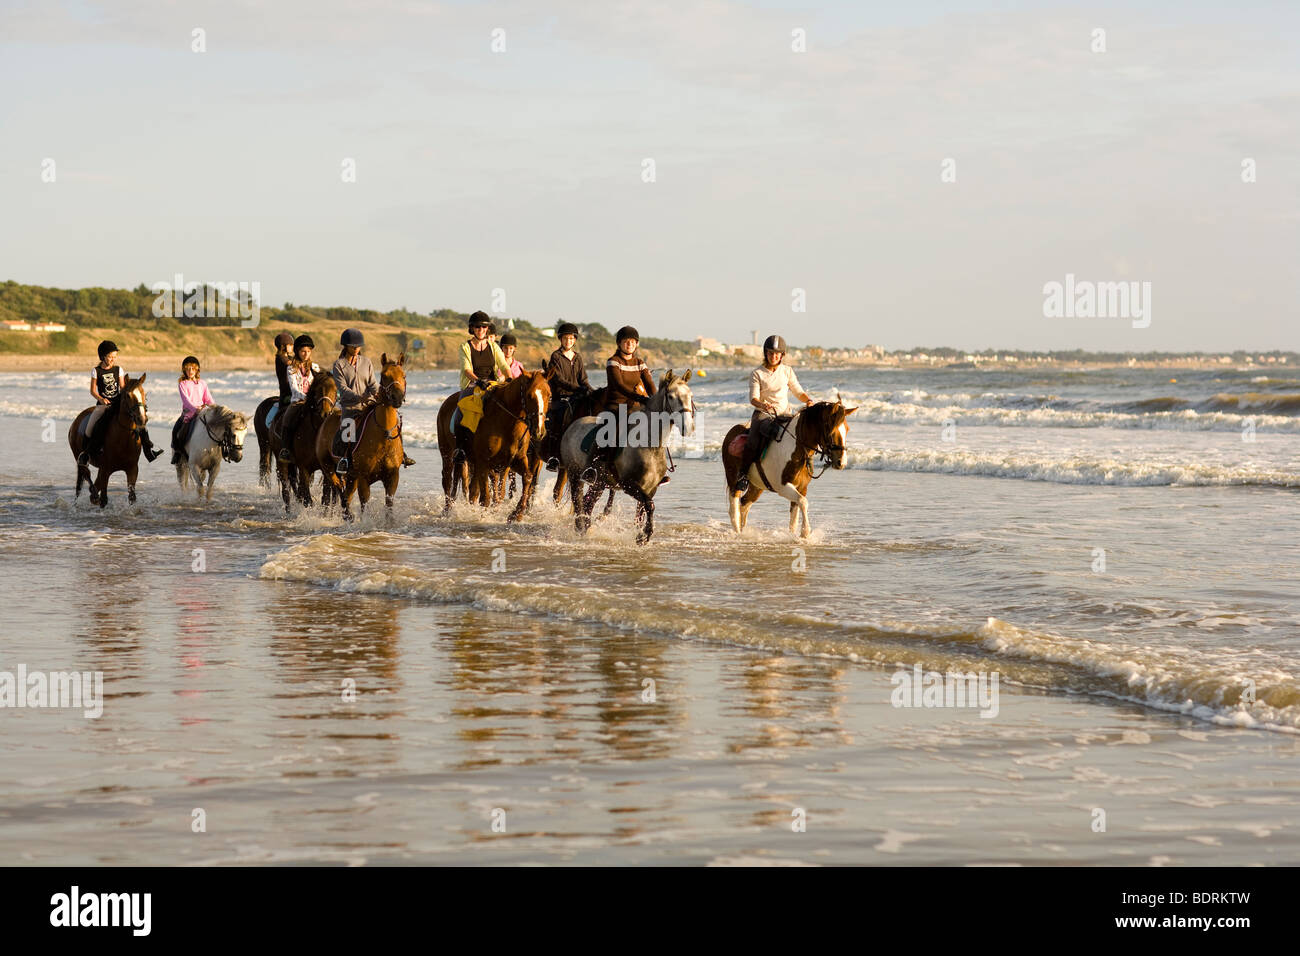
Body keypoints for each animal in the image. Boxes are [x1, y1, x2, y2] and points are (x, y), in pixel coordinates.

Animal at [68, 374, 149, 509]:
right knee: (86, 474)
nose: (142, 419)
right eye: (128, 395)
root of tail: (77, 420)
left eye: (144, 393)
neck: (124, 438)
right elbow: (104, 500)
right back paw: (93, 495)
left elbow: (132, 498)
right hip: (79, 456)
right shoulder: (105, 470)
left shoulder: (132, 469)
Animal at [273, 371, 340, 512]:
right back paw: (288, 512)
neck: (316, 433)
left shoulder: (326, 469)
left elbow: (325, 498)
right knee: (286, 491)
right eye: (316, 390)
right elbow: (308, 500)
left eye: (335, 390)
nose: (325, 414)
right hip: (281, 463)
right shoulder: (304, 468)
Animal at [314, 351, 405, 520]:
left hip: (351, 476)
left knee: (345, 494)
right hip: (330, 469)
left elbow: (389, 504)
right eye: (384, 375)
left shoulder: (392, 476)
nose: (397, 397)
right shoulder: (363, 477)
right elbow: (364, 502)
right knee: (340, 491)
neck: (383, 436)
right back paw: (347, 515)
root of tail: (328, 417)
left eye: (404, 375)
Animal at [722, 400, 852, 538]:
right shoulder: (783, 487)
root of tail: (732, 431)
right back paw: (737, 533)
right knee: (734, 507)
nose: (841, 462)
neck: (796, 449)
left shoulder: (801, 488)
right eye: (830, 429)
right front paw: (805, 532)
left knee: (744, 504)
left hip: (756, 486)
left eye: (847, 429)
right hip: (733, 479)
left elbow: (795, 515)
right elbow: (803, 502)